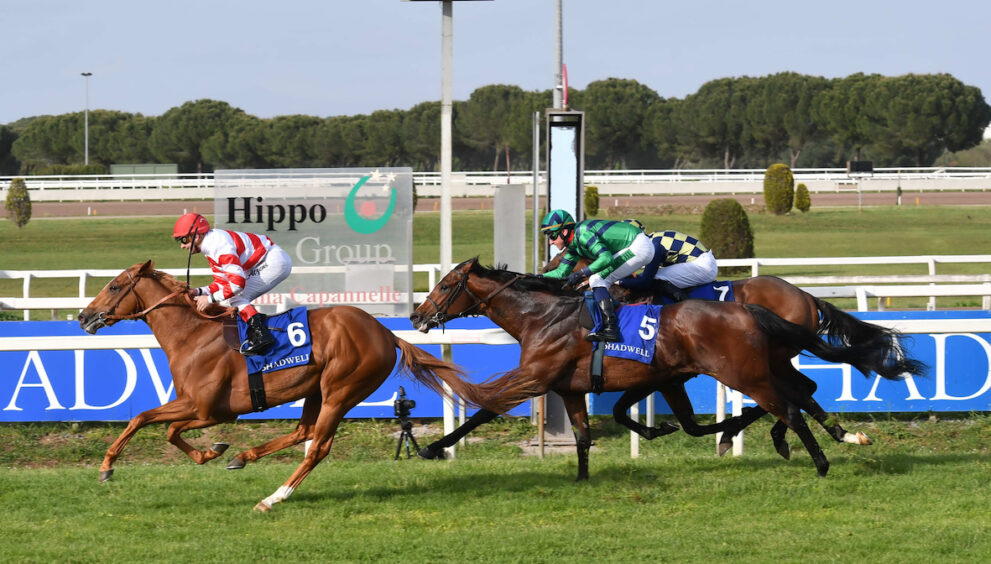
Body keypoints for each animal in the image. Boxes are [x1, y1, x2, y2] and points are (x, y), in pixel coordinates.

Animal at [77, 260, 494, 512]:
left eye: (113, 287)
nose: (83, 316)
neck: (193, 334)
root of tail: (385, 333)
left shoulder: (206, 408)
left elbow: (146, 420)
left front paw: (107, 467)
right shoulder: (202, 409)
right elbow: (164, 428)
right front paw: (213, 451)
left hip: (342, 389)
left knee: (318, 446)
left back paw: (273, 497)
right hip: (316, 389)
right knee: (303, 431)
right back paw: (241, 457)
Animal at [409, 258, 925, 480]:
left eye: (447, 284)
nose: (417, 314)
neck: (545, 315)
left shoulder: (536, 377)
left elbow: (486, 407)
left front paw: (434, 447)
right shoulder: (575, 387)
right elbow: (586, 435)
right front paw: (582, 477)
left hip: (749, 372)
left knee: (791, 404)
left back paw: (817, 459)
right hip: (764, 365)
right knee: (800, 391)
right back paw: (836, 435)